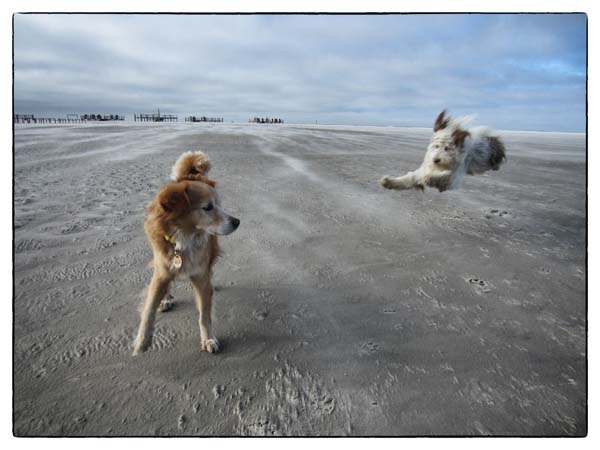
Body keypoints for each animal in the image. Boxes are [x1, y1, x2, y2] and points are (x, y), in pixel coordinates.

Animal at [134, 151, 239, 356]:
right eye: (207, 207)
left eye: (219, 205)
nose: (236, 222)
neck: (183, 238)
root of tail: (188, 176)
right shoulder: (161, 271)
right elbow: (149, 307)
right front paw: (142, 340)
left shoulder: (200, 276)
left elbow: (204, 315)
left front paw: (207, 338)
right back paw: (165, 299)